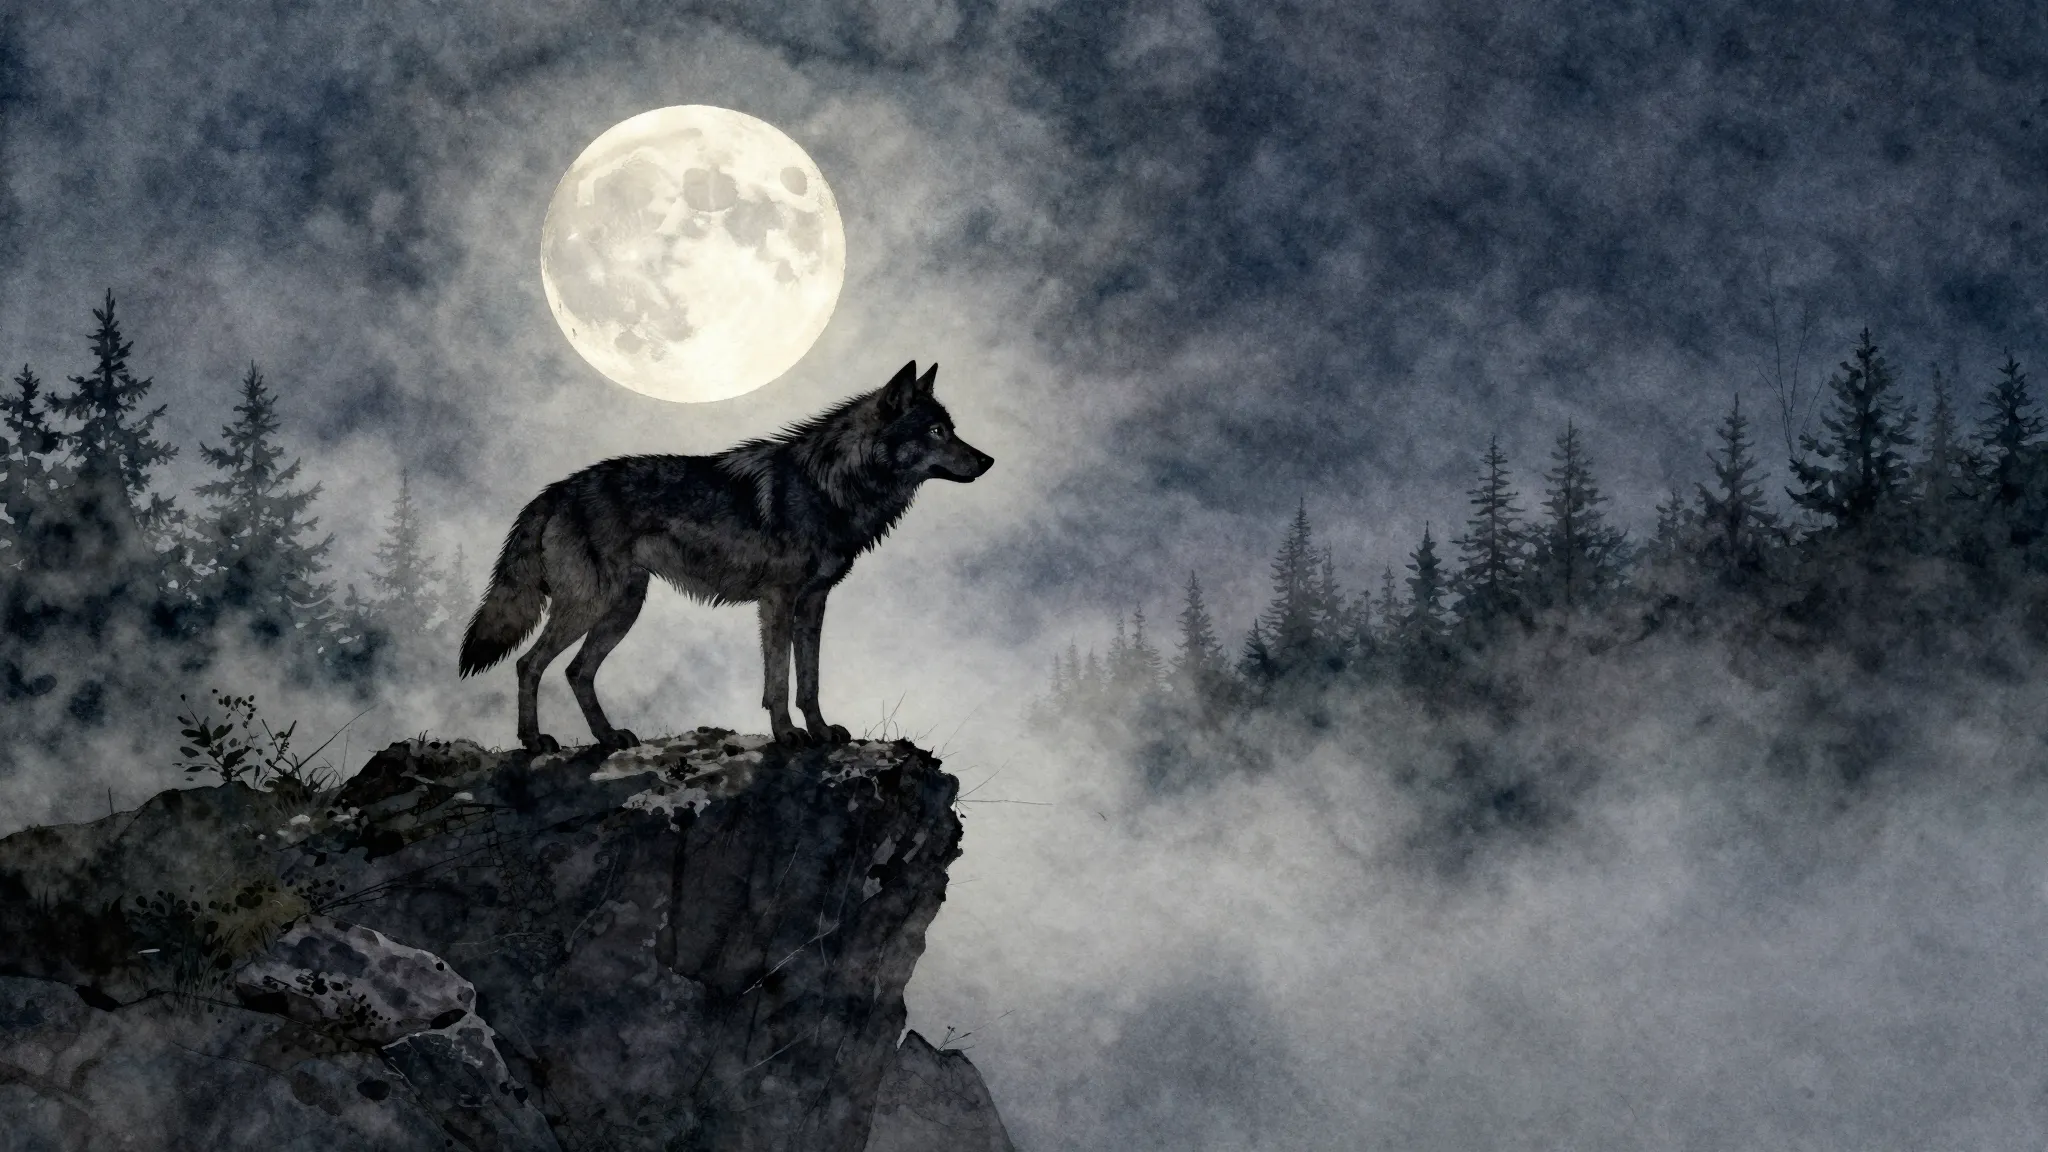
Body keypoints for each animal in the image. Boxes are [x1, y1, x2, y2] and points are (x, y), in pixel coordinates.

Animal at [458, 361, 994, 752]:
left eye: (951, 429)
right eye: (936, 432)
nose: (987, 460)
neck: (832, 486)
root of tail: (556, 488)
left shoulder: (814, 602)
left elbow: (810, 680)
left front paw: (821, 733)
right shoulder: (777, 600)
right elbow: (779, 680)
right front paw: (787, 735)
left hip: (623, 609)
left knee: (576, 672)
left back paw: (609, 737)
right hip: (593, 605)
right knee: (529, 664)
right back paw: (533, 741)